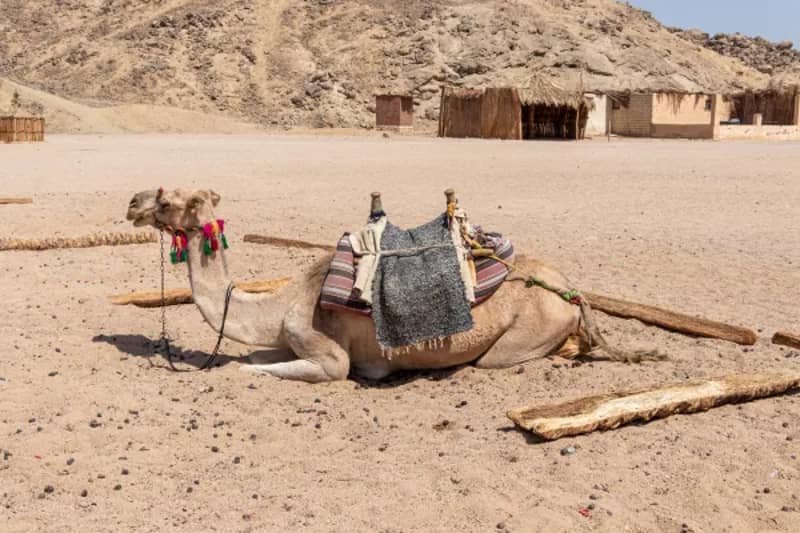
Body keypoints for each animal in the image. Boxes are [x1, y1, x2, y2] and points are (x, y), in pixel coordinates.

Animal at [125, 188, 659, 383]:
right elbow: (261, 358)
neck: (280, 307)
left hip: (521, 335)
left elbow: (259, 369)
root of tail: (571, 290)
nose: (132, 203)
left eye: (168, 201)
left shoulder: (327, 352)